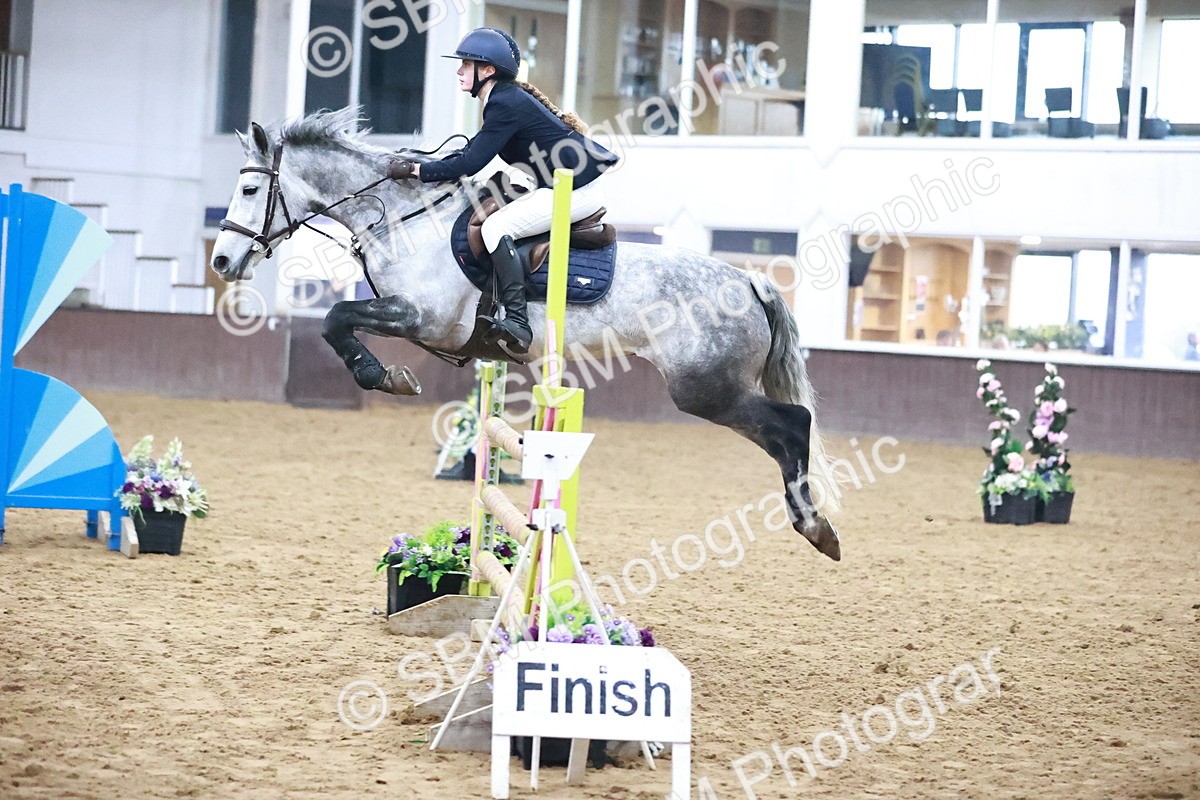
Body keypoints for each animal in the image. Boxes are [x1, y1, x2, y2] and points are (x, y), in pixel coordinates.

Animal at [209, 108, 843, 560]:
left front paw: (386, 377)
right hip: (711, 389)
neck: (403, 221)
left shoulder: (420, 316)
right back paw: (816, 526)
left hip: (706, 388)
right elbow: (338, 320)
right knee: (783, 433)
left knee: (793, 426)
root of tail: (749, 278)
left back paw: (816, 528)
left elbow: (336, 317)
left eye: (249, 191)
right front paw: (389, 375)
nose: (221, 262)